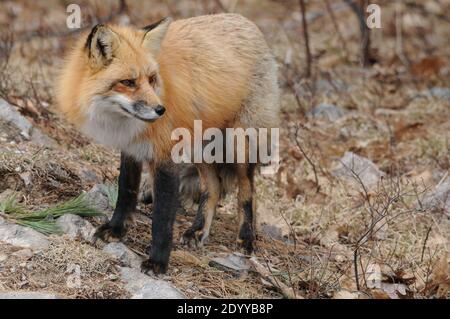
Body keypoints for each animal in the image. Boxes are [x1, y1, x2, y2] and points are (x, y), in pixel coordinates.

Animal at [55, 14, 278, 276]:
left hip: (238, 144)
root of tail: (247, 22)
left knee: (247, 190)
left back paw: (246, 238)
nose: (161, 110)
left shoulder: (166, 156)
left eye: (152, 79)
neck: (124, 123)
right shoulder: (131, 148)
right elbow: (126, 191)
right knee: (212, 187)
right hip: (199, 147)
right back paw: (197, 231)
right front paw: (116, 230)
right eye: (128, 82)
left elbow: (162, 218)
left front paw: (158, 261)